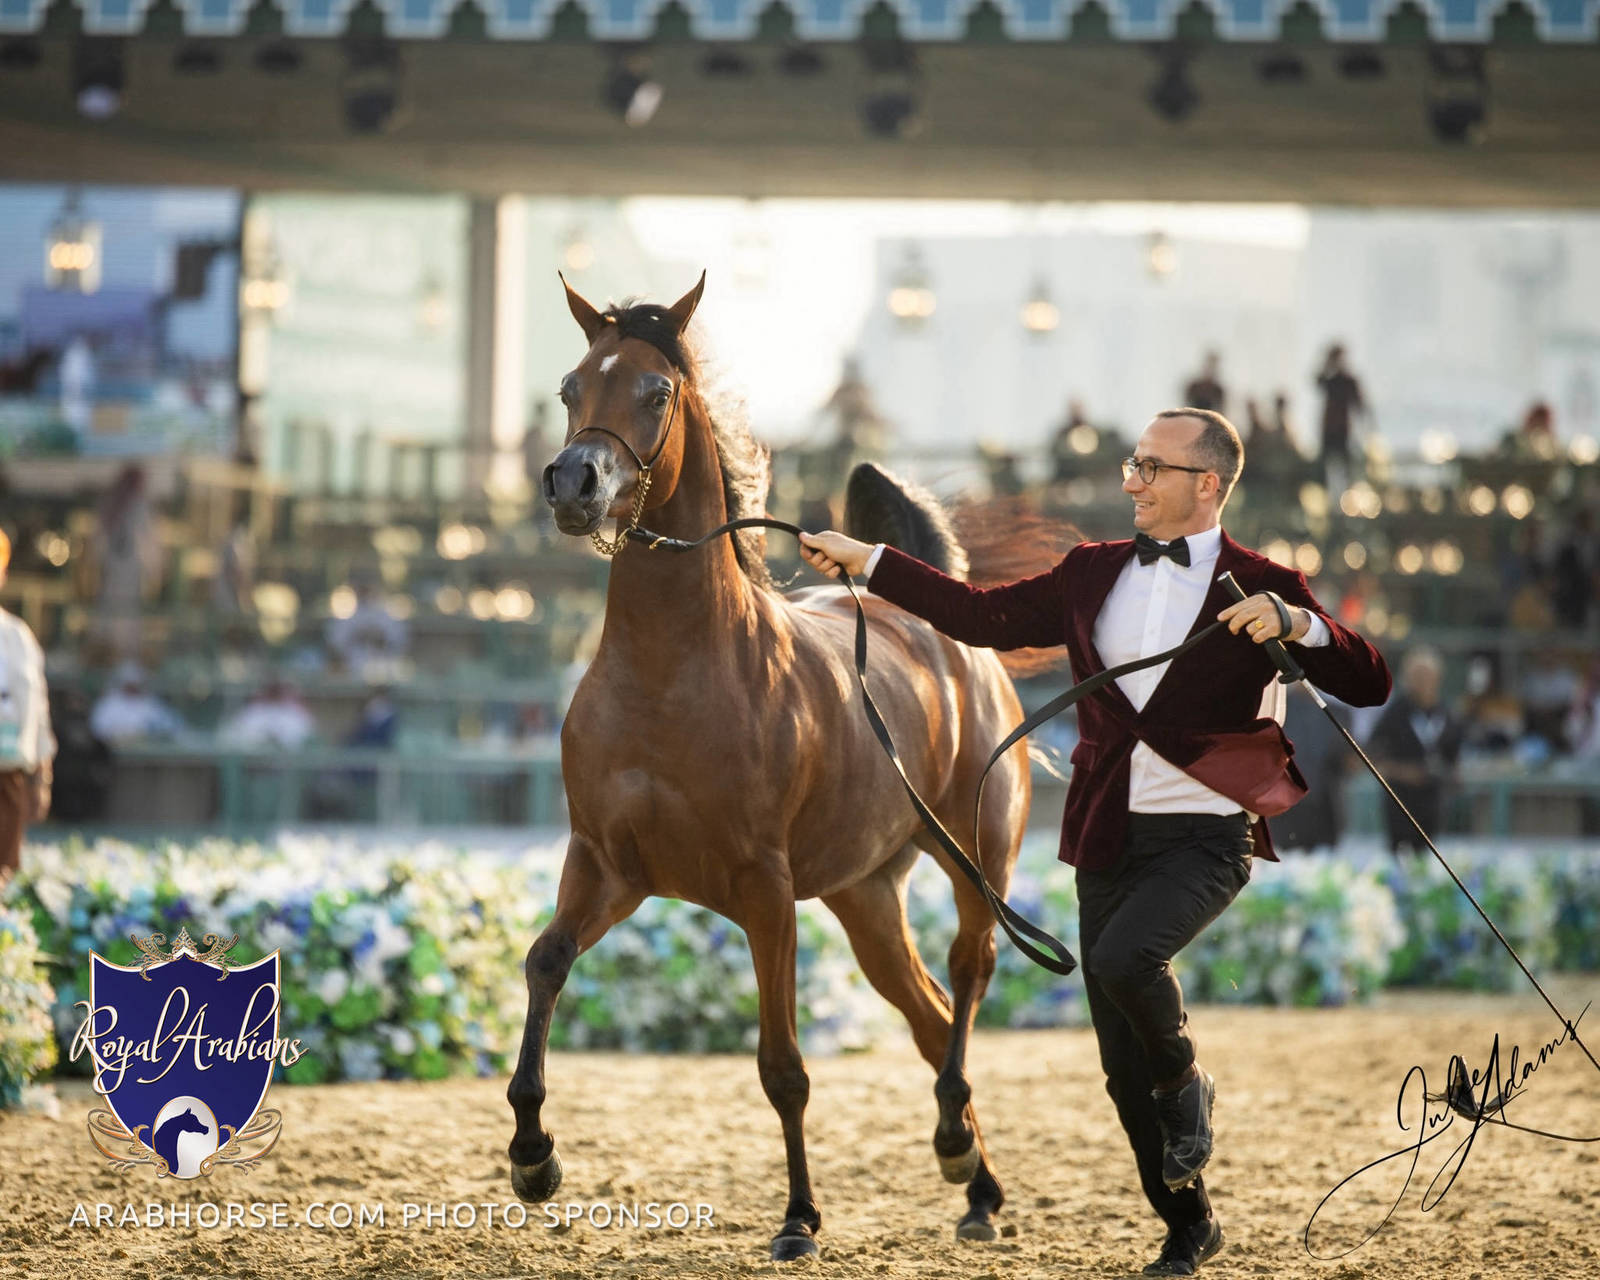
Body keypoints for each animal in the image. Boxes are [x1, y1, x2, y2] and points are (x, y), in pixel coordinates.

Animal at [510, 273, 1038, 1261]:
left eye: (657, 392)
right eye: (569, 386)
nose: (573, 485)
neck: (672, 672)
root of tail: (949, 635)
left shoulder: (764, 889)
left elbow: (784, 1067)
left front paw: (799, 1218)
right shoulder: (606, 864)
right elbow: (545, 963)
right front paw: (532, 1155)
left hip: (975, 862)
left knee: (969, 974)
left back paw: (956, 1144)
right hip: (865, 898)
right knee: (928, 1012)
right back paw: (978, 1188)